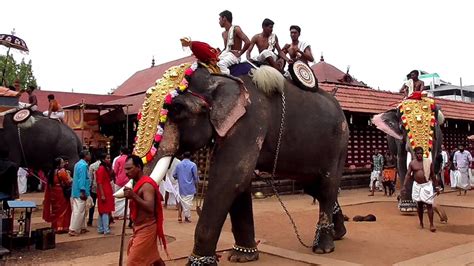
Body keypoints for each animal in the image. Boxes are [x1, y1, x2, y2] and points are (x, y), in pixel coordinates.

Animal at [120, 61, 350, 264]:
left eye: (176, 108)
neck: (217, 78)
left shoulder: (250, 120)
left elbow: (231, 179)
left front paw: (200, 262)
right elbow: (240, 183)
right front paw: (242, 257)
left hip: (339, 143)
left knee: (327, 186)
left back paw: (323, 248)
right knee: (314, 187)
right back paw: (338, 233)